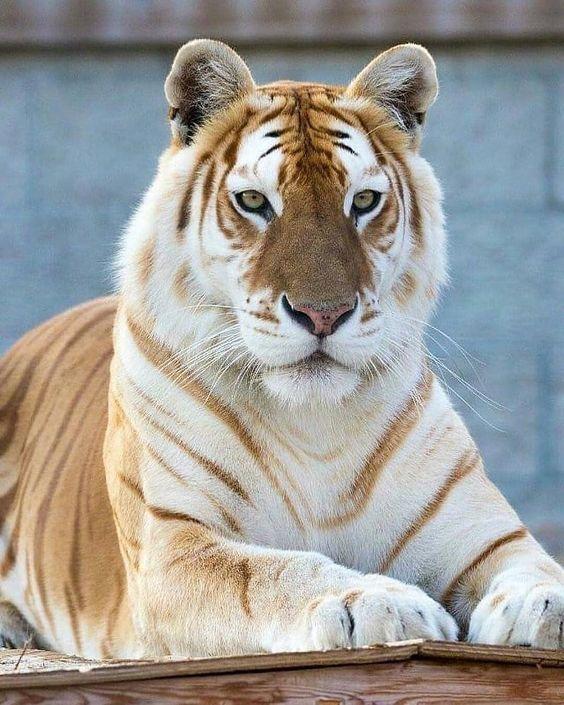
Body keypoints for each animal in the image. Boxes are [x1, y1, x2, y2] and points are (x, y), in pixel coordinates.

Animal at [1, 38, 564, 656]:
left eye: (363, 201)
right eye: (253, 201)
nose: (323, 314)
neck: (314, 427)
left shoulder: (484, 533)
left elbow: (536, 564)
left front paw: (543, 603)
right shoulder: (175, 546)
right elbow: (275, 571)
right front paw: (377, 600)